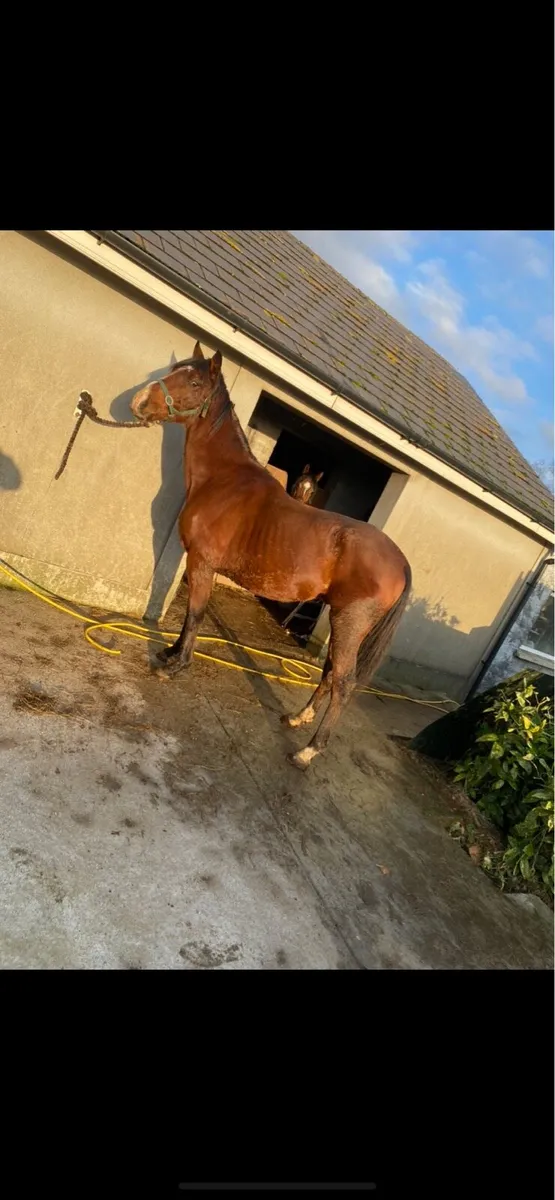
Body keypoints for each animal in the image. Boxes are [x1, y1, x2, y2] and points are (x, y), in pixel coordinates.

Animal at [131, 345, 412, 771]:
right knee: (330, 671)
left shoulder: (201, 563)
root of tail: (400, 560)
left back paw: (308, 751)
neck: (223, 480)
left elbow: (195, 614)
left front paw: (175, 666)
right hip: (341, 619)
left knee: (343, 682)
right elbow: (191, 615)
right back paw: (297, 717)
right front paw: (170, 652)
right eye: (175, 369)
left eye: (194, 382)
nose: (139, 402)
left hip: (350, 622)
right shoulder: (197, 563)